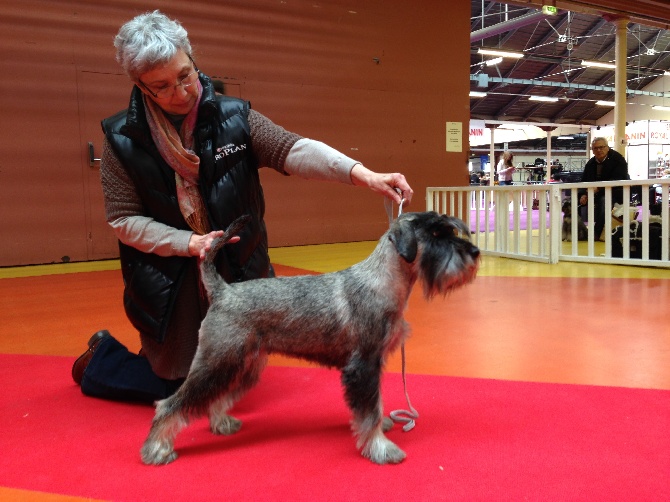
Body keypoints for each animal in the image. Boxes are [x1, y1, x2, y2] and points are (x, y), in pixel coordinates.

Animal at [142, 211, 480, 466]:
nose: (474, 253)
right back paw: (157, 448)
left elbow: (376, 403)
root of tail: (223, 290)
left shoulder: (374, 364)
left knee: (216, 396)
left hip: (242, 365)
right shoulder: (363, 367)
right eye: (435, 234)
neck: (382, 281)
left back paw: (220, 423)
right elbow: (368, 412)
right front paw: (381, 448)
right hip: (218, 360)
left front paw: (383, 427)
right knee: (170, 403)